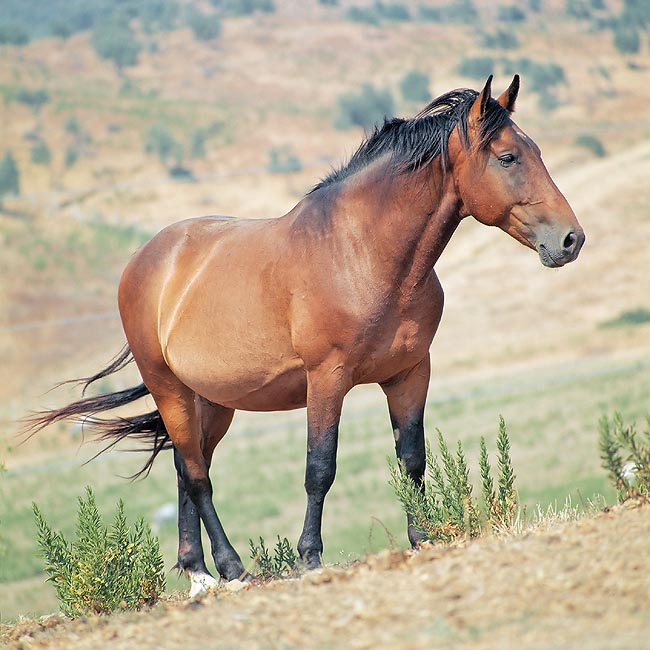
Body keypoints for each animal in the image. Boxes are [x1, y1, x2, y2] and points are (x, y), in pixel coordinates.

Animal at [24, 76, 584, 592]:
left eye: (535, 151)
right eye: (508, 157)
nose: (570, 240)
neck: (361, 252)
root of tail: (147, 259)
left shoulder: (410, 374)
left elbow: (412, 461)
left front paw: (424, 538)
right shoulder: (327, 378)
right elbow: (320, 468)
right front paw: (310, 557)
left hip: (211, 401)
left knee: (187, 466)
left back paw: (198, 573)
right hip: (169, 389)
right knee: (199, 476)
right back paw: (230, 569)